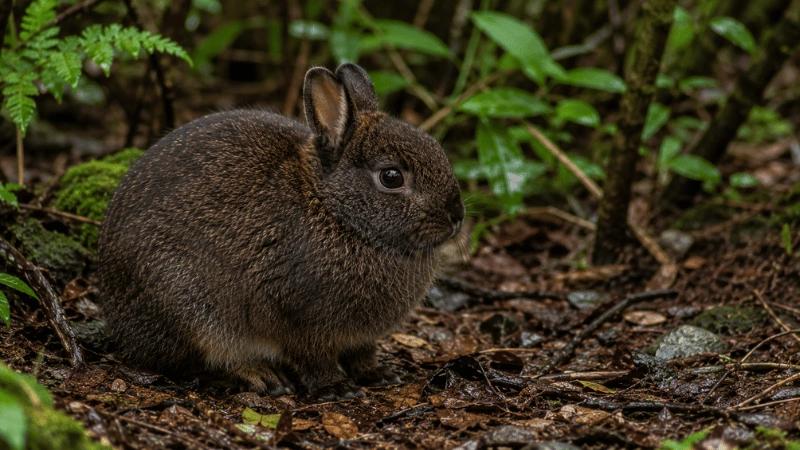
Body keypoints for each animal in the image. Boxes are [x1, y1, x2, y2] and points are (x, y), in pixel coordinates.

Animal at [97, 63, 464, 399]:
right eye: (391, 177)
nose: (456, 216)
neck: (335, 211)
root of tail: (116, 318)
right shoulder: (300, 320)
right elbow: (314, 358)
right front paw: (335, 387)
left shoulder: (360, 338)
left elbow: (363, 353)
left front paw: (379, 374)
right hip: (188, 305)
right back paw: (262, 375)